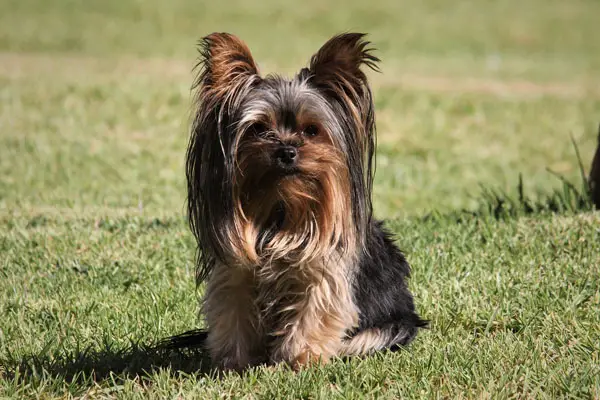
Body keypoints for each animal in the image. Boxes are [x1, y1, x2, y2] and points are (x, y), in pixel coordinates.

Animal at [185, 32, 424, 372]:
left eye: (311, 130)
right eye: (259, 128)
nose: (287, 151)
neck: (282, 208)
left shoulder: (322, 273)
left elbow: (314, 312)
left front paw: (300, 360)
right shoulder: (235, 274)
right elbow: (233, 312)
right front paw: (234, 363)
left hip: (386, 328)